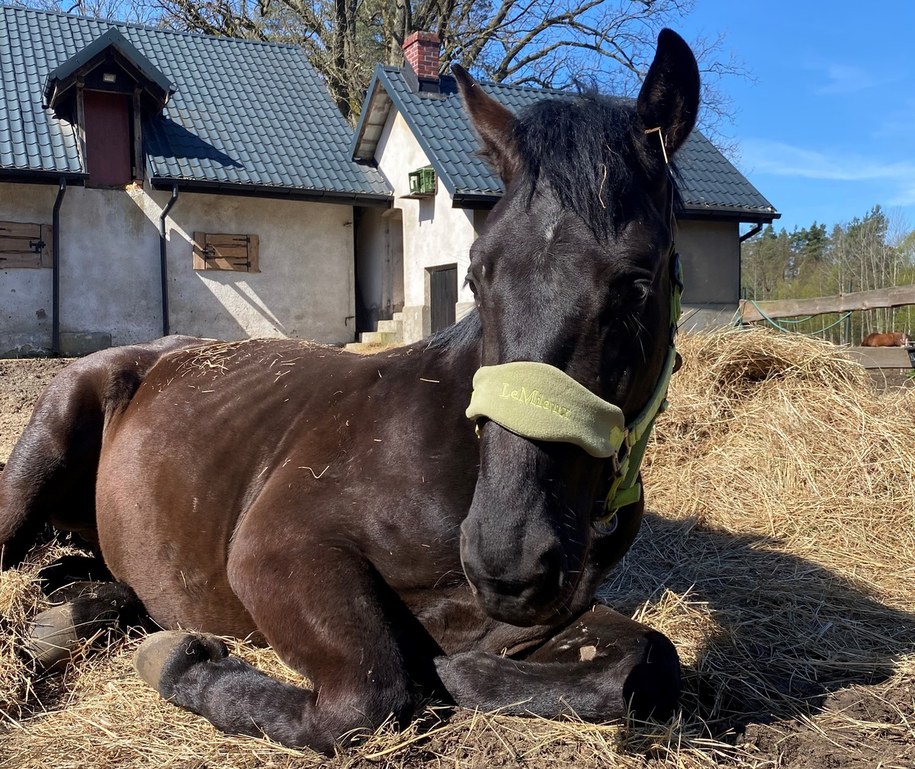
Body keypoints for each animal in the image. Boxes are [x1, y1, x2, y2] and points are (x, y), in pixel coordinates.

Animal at [1, 30, 700, 756]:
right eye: (476, 275)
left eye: (637, 284)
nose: (508, 558)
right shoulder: (276, 550)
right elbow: (368, 694)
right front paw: (181, 659)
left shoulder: (538, 619)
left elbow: (643, 664)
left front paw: (457, 671)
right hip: (41, 451)